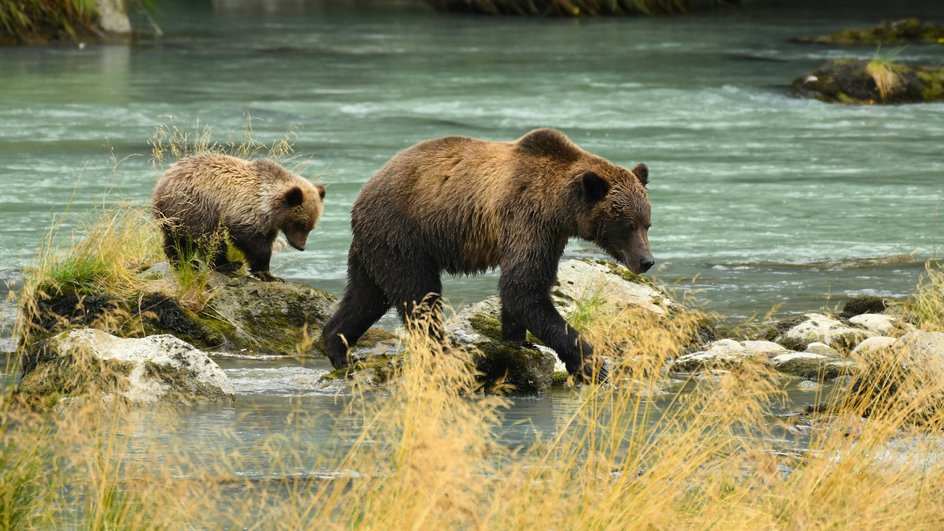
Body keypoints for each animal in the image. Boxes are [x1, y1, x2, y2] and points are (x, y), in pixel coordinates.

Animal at [320, 128, 652, 378]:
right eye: (628, 225)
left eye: (647, 222)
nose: (647, 261)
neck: (559, 207)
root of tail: (361, 196)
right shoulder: (527, 218)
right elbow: (524, 289)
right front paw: (592, 363)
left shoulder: (550, 235)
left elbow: (523, 290)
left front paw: (518, 340)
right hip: (404, 235)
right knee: (419, 295)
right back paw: (442, 349)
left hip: (376, 248)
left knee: (365, 297)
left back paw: (339, 350)